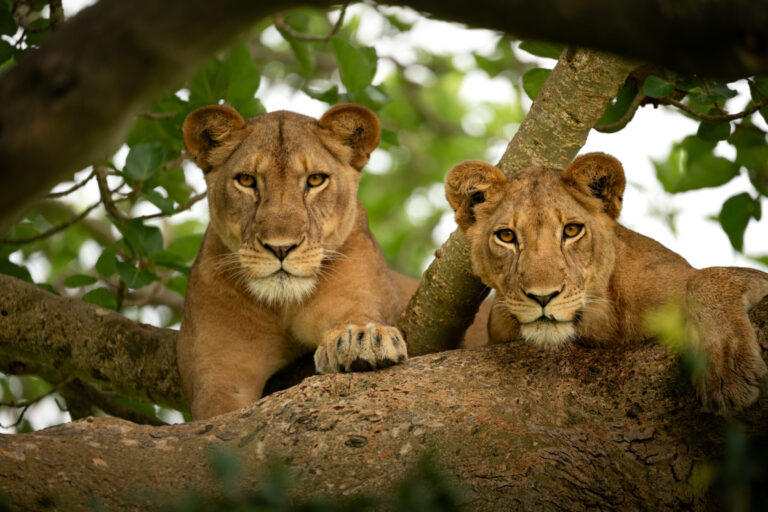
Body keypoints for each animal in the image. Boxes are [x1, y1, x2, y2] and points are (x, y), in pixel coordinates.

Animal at [177, 103, 420, 419]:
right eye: (246, 180)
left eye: (315, 180)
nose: (281, 248)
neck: (283, 306)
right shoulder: (219, 372)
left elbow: (358, 318)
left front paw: (363, 339)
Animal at [445, 152, 768, 413]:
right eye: (507, 236)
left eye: (572, 230)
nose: (543, 296)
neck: (601, 323)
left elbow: (707, 279)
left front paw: (727, 367)